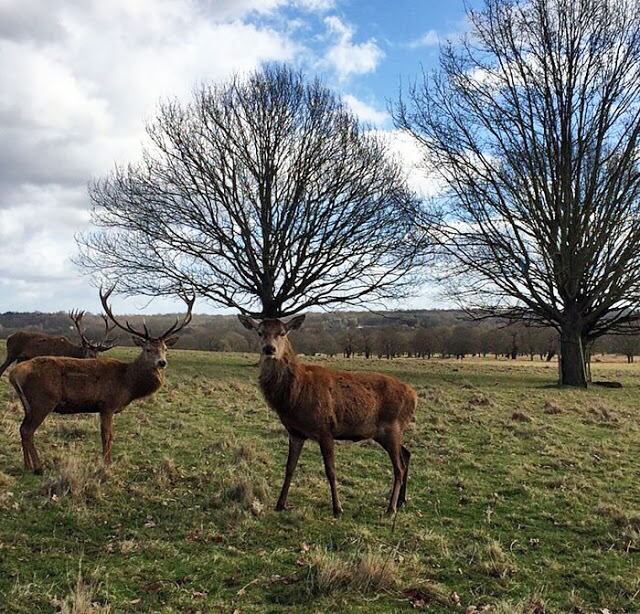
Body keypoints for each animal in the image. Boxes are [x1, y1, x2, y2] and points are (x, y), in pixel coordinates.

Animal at [8, 290, 194, 476]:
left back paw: (27, 465)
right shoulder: (107, 404)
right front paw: (107, 464)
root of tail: (14, 373)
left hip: (28, 404)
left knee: (22, 428)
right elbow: (107, 435)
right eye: (148, 349)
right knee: (28, 430)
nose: (162, 362)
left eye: (165, 349)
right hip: (43, 400)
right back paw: (39, 467)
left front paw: (107, 462)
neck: (128, 383)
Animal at [238, 316, 418, 516]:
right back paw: (401, 501)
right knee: (406, 454)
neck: (295, 395)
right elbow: (289, 467)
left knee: (399, 467)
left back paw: (391, 508)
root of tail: (414, 396)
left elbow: (330, 470)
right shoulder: (295, 432)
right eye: (259, 332)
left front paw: (337, 508)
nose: (269, 349)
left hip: (392, 426)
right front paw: (280, 504)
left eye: (282, 333)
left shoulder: (325, 429)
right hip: (387, 432)